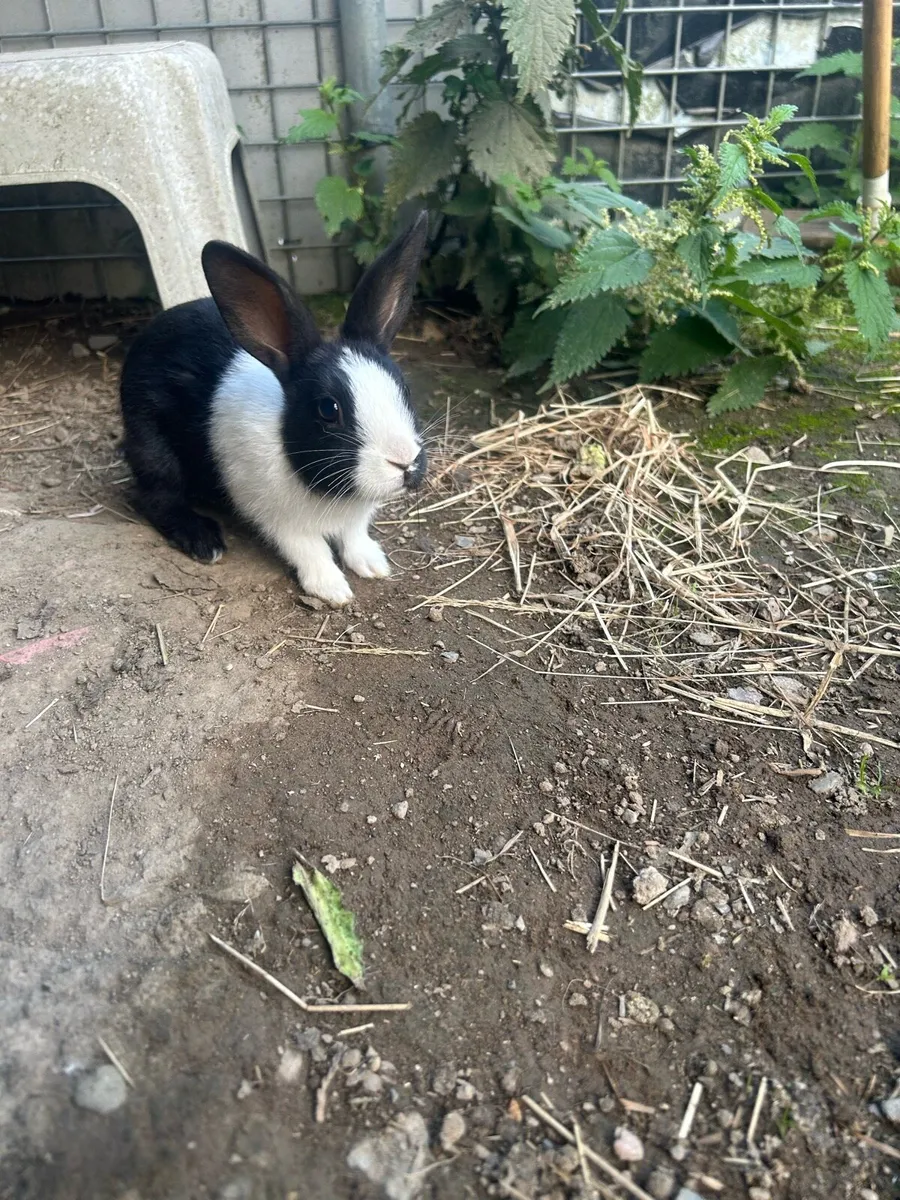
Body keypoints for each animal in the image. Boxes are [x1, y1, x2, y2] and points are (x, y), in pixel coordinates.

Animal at [119, 212, 429, 607]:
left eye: (403, 388)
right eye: (328, 409)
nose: (405, 463)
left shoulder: (355, 520)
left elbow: (354, 537)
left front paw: (373, 564)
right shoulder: (279, 519)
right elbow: (310, 550)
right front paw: (333, 589)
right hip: (152, 447)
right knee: (156, 496)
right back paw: (204, 541)